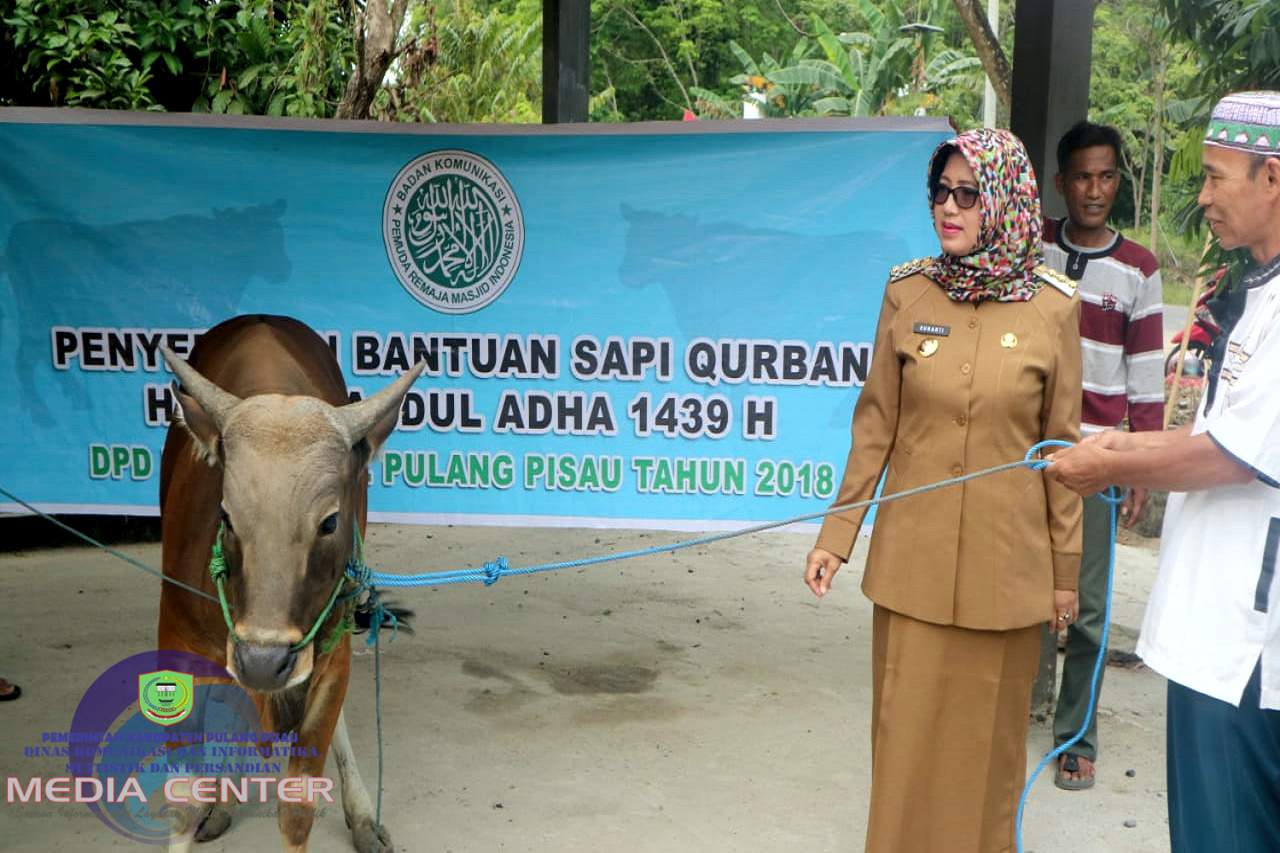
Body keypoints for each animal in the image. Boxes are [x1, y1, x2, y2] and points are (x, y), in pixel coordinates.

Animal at [157, 313, 422, 850]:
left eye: (330, 522)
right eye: (225, 515)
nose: (264, 660)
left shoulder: (329, 653)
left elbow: (298, 808)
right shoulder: (176, 643)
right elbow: (182, 805)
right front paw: (207, 799)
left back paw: (361, 814)